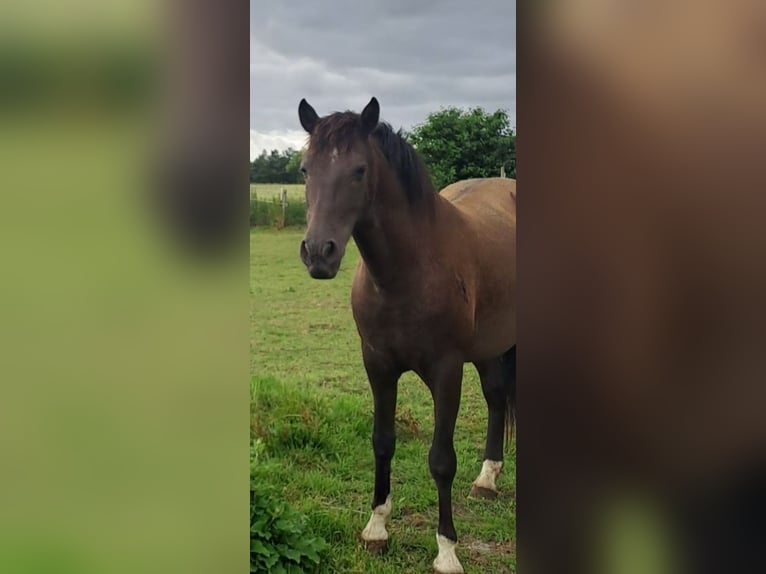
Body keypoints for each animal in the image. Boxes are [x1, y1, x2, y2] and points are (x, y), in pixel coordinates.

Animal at [296, 97, 520, 572]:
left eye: (359, 170)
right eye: (306, 169)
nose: (319, 252)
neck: (407, 271)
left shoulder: (447, 371)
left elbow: (441, 460)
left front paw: (447, 551)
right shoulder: (377, 365)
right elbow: (382, 442)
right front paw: (376, 528)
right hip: (489, 345)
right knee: (496, 396)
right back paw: (487, 478)